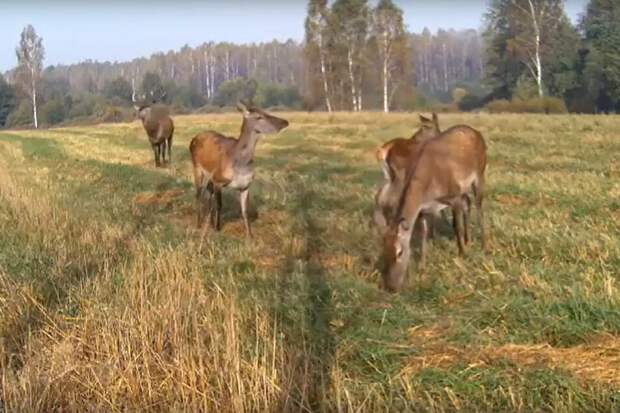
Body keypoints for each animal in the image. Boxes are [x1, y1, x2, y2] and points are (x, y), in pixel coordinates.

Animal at [190, 101, 290, 237]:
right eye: (259, 117)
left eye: (266, 111)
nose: (285, 122)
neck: (241, 165)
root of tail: (194, 138)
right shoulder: (218, 180)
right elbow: (219, 205)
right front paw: (217, 229)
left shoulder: (245, 185)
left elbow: (245, 210)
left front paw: (249, 234)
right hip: (197, 167)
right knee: (199, 193)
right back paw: (199, 224)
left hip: (210, 175)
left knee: (208, 190)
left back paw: (209, 223)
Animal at [372, 112, 474, 268]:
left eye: (425, 127)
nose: (414, 138)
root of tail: (382, 150)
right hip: (399, 177)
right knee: (386, 199)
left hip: (390, 177)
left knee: (380, 196)